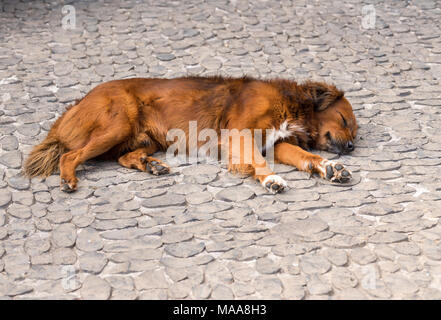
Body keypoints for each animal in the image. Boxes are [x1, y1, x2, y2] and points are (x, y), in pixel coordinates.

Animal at [22, 76, 356, 194]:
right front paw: (271, 179)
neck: (291, 104)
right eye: (343, 120)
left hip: (144, 138)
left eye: (355, 130)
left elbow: (305, 155)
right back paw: (68, 179)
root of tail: (77, 103)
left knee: (122, 157)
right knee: (70, 154)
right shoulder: (240, 133)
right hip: (117, 126)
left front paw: (330, 168)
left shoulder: (276, 143)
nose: (352, 146)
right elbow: (257, 162)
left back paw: (151, 165)